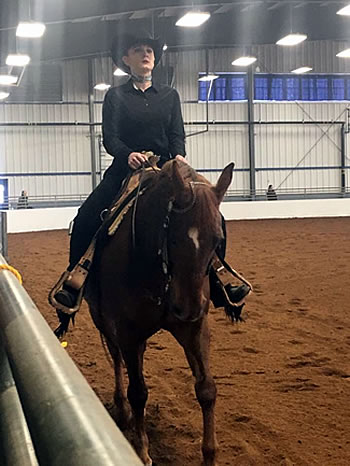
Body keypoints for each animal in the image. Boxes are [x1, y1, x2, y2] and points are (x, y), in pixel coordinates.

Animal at [83, 160, 234, 466]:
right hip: (104, 321)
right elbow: (139, 392)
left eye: (217, 240)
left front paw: (209, 456)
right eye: (173, 237)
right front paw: (142, 451)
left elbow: (207, 389)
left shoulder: (195, 327)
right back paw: (122, 410)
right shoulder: (127, 332)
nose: (187, 308)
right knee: (116, 359)